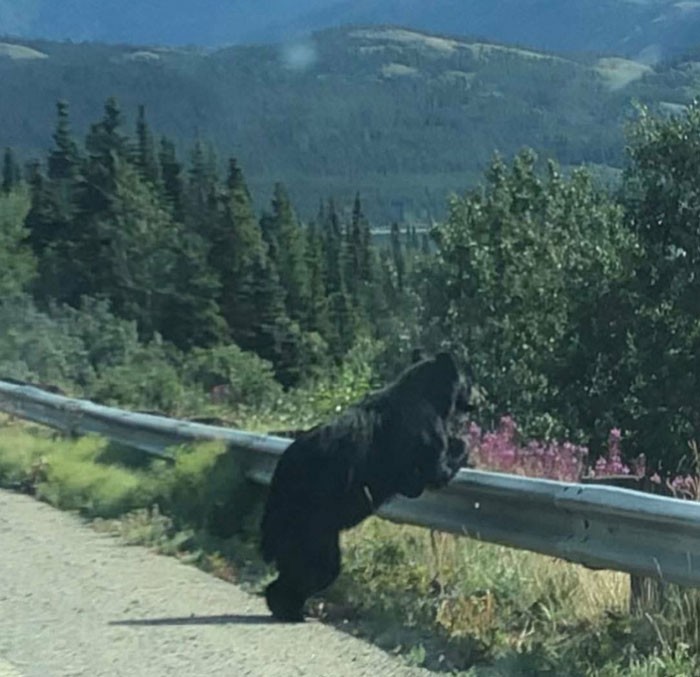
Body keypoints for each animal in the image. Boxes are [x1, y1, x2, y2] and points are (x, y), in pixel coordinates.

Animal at [258, 352, 470, 620]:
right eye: (467, 380)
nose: (475, 399)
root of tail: (282, 470)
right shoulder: (425, 431)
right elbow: (436, 472)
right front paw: (461, 445)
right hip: (308, 523)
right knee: (318, 567)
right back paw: (290, 609)